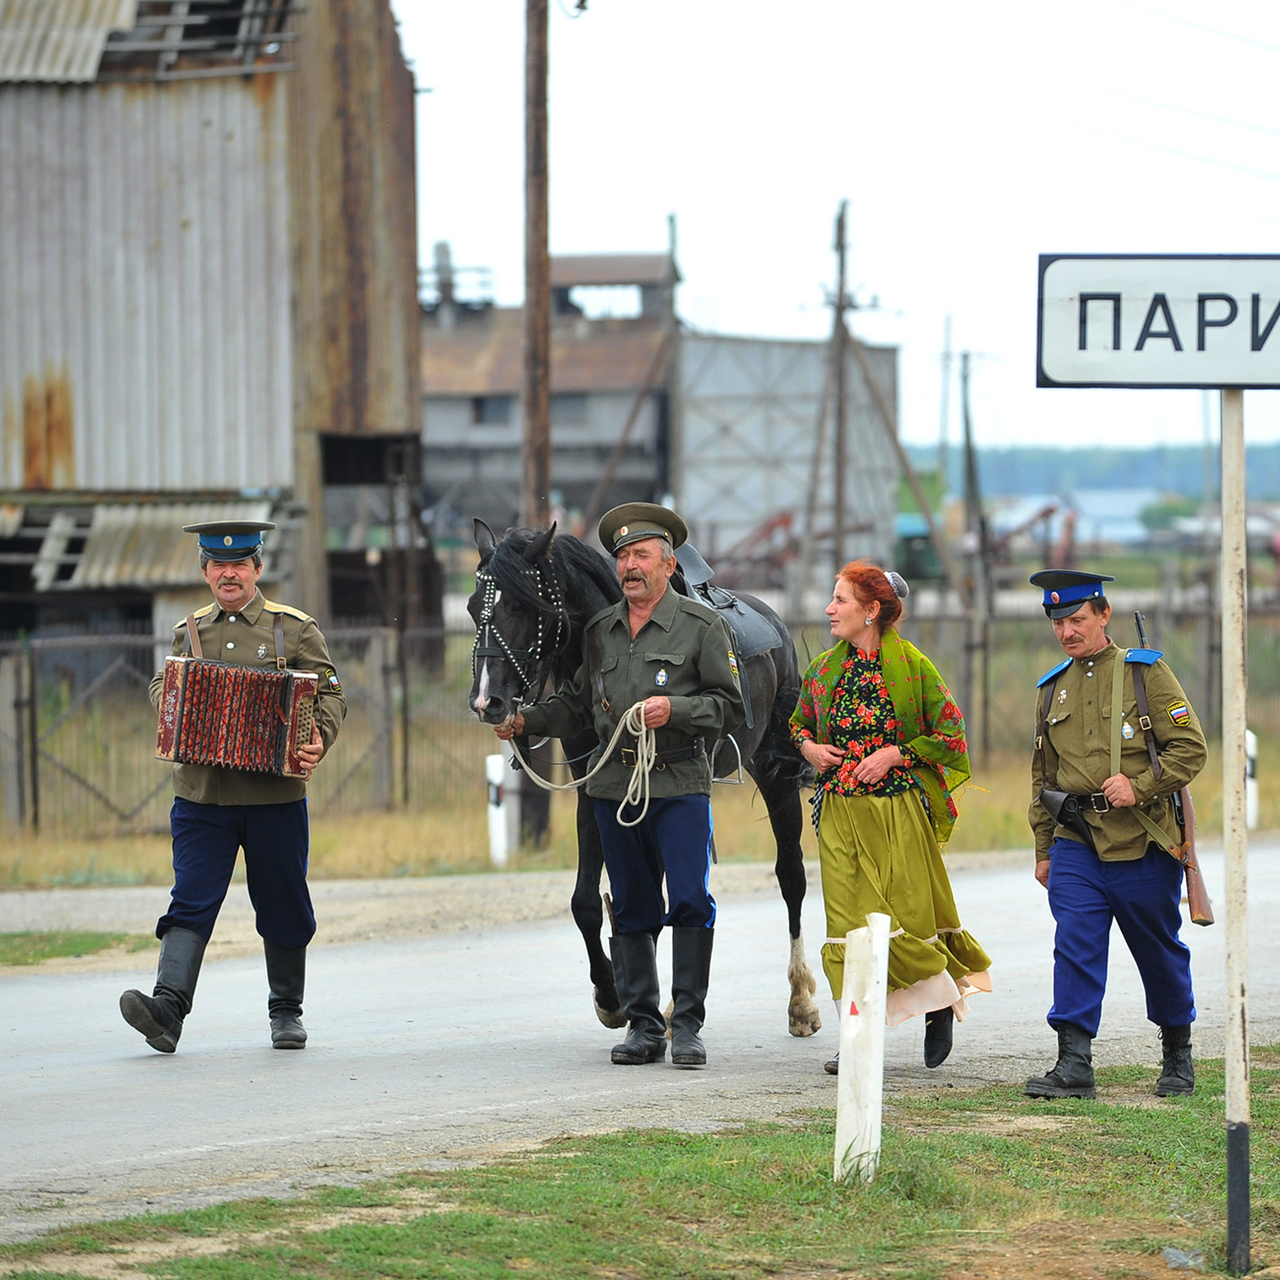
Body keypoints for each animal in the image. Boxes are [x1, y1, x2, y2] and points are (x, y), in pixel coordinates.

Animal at [468, 519, 819, 1039]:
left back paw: (800, 1001)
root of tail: (774, 624)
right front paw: (613, 996)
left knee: (790, 876)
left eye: (518, 605)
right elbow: (589, 902)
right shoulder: (595, 791)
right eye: (474, 607)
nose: (486, 700)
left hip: (774, 775)